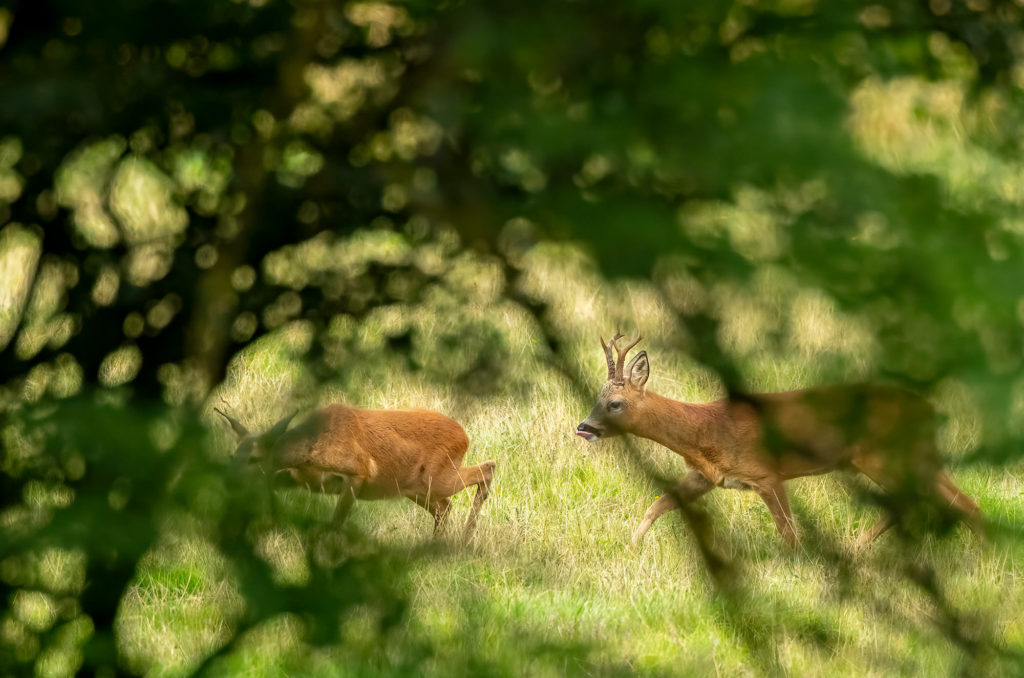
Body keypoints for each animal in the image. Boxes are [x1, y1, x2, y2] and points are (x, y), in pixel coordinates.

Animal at [218, 403, 497, 540]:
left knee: (487, 468)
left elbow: (335, 522)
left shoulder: (359, 473)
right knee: (445, 507)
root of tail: (465, 436)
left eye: (254, 458)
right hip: (414, 487)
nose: (228, 480)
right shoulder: (298, 478)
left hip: (436, 477)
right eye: (232, 455)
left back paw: (465, 539)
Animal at [577, 331, 983, 548]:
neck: (707, 428)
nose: (584, 427)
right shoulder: (708, 476)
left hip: (881, 455)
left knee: (943, 501)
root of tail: (929, 410)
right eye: (597, 396)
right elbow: (659, 504)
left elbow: (788, 531)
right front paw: (632, 545)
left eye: (614, 403)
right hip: (908, 456)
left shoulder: (765, 473)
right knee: (948, 500)